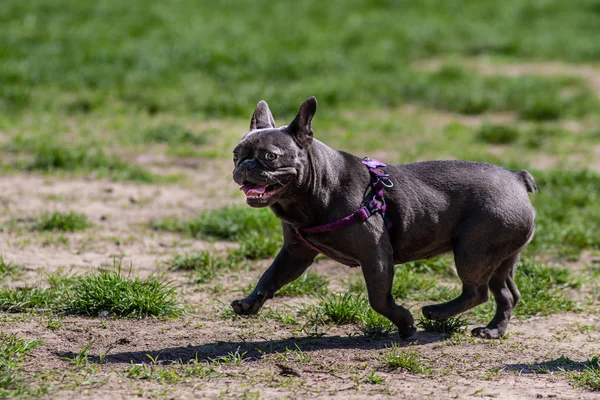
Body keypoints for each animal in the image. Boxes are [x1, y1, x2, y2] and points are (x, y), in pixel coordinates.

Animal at [232, 96, 536, 338]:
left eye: (270, 157)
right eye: (236, 154)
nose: (244, 165)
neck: (319, 187)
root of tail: (516, 178)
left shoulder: (375, 255)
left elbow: (378, 299)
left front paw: (406, 324)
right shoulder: (295, 253)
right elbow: (270, 276)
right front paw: (250, 302)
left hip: (472, 251)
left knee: (477, 291)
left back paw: (436, 312)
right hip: (499, 256)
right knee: (506, 293)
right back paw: (493, 330)